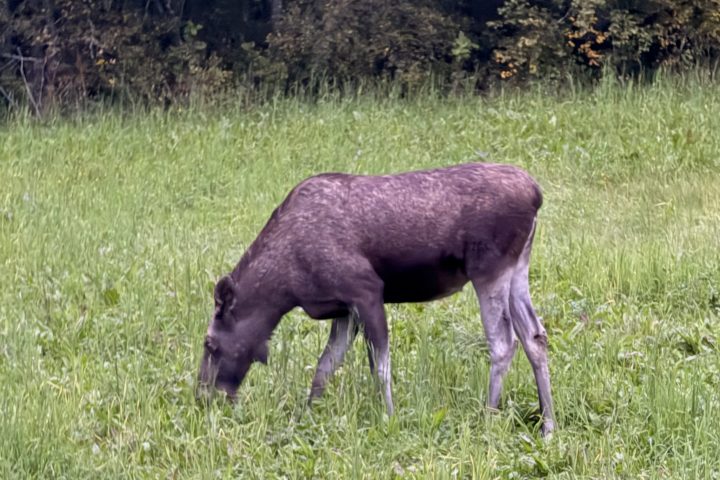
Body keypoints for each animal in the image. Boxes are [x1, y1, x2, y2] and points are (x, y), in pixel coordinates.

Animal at [197, 163, 555, 436]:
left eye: (210, 343)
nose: (202, 396)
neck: (286, 288)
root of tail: (536, 195)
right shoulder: (344, 309)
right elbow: (326, 365)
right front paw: (309, 413)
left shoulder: (366, 289)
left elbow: (379, 366)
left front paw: (389, 417)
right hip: (517, 268)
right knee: (535, 335)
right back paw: (547, 424)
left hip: (488, 268)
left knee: (503, 341)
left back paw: (489, 417)